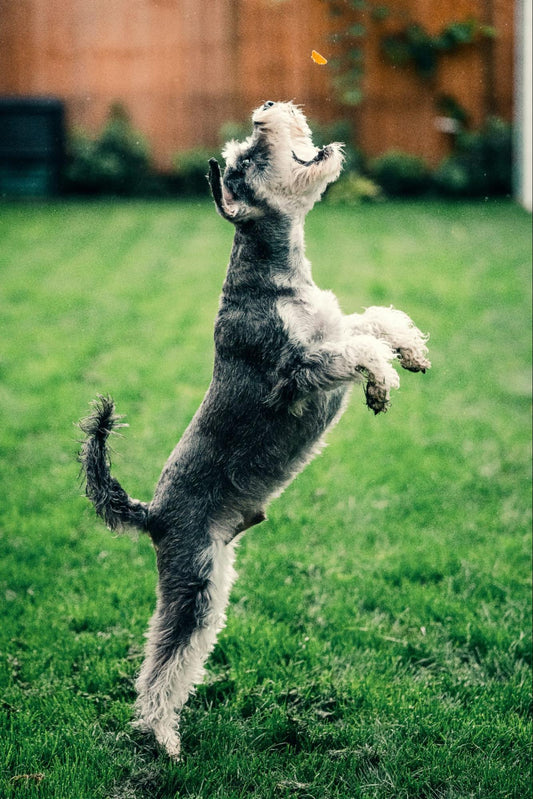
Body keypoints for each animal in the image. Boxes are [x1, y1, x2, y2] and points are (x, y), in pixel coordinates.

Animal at [78, 101, 428, 764]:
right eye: (247, 156)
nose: (268, 109)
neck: (275, 270)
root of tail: (150, 514)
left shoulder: (329, 331)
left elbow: (371, 320)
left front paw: (412, 351)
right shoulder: (297, 370)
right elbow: (357, 348)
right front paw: (381, 381)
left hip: (213, 580)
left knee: (178, 661)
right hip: (193, 584)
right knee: (159, 666)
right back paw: (161, 738)